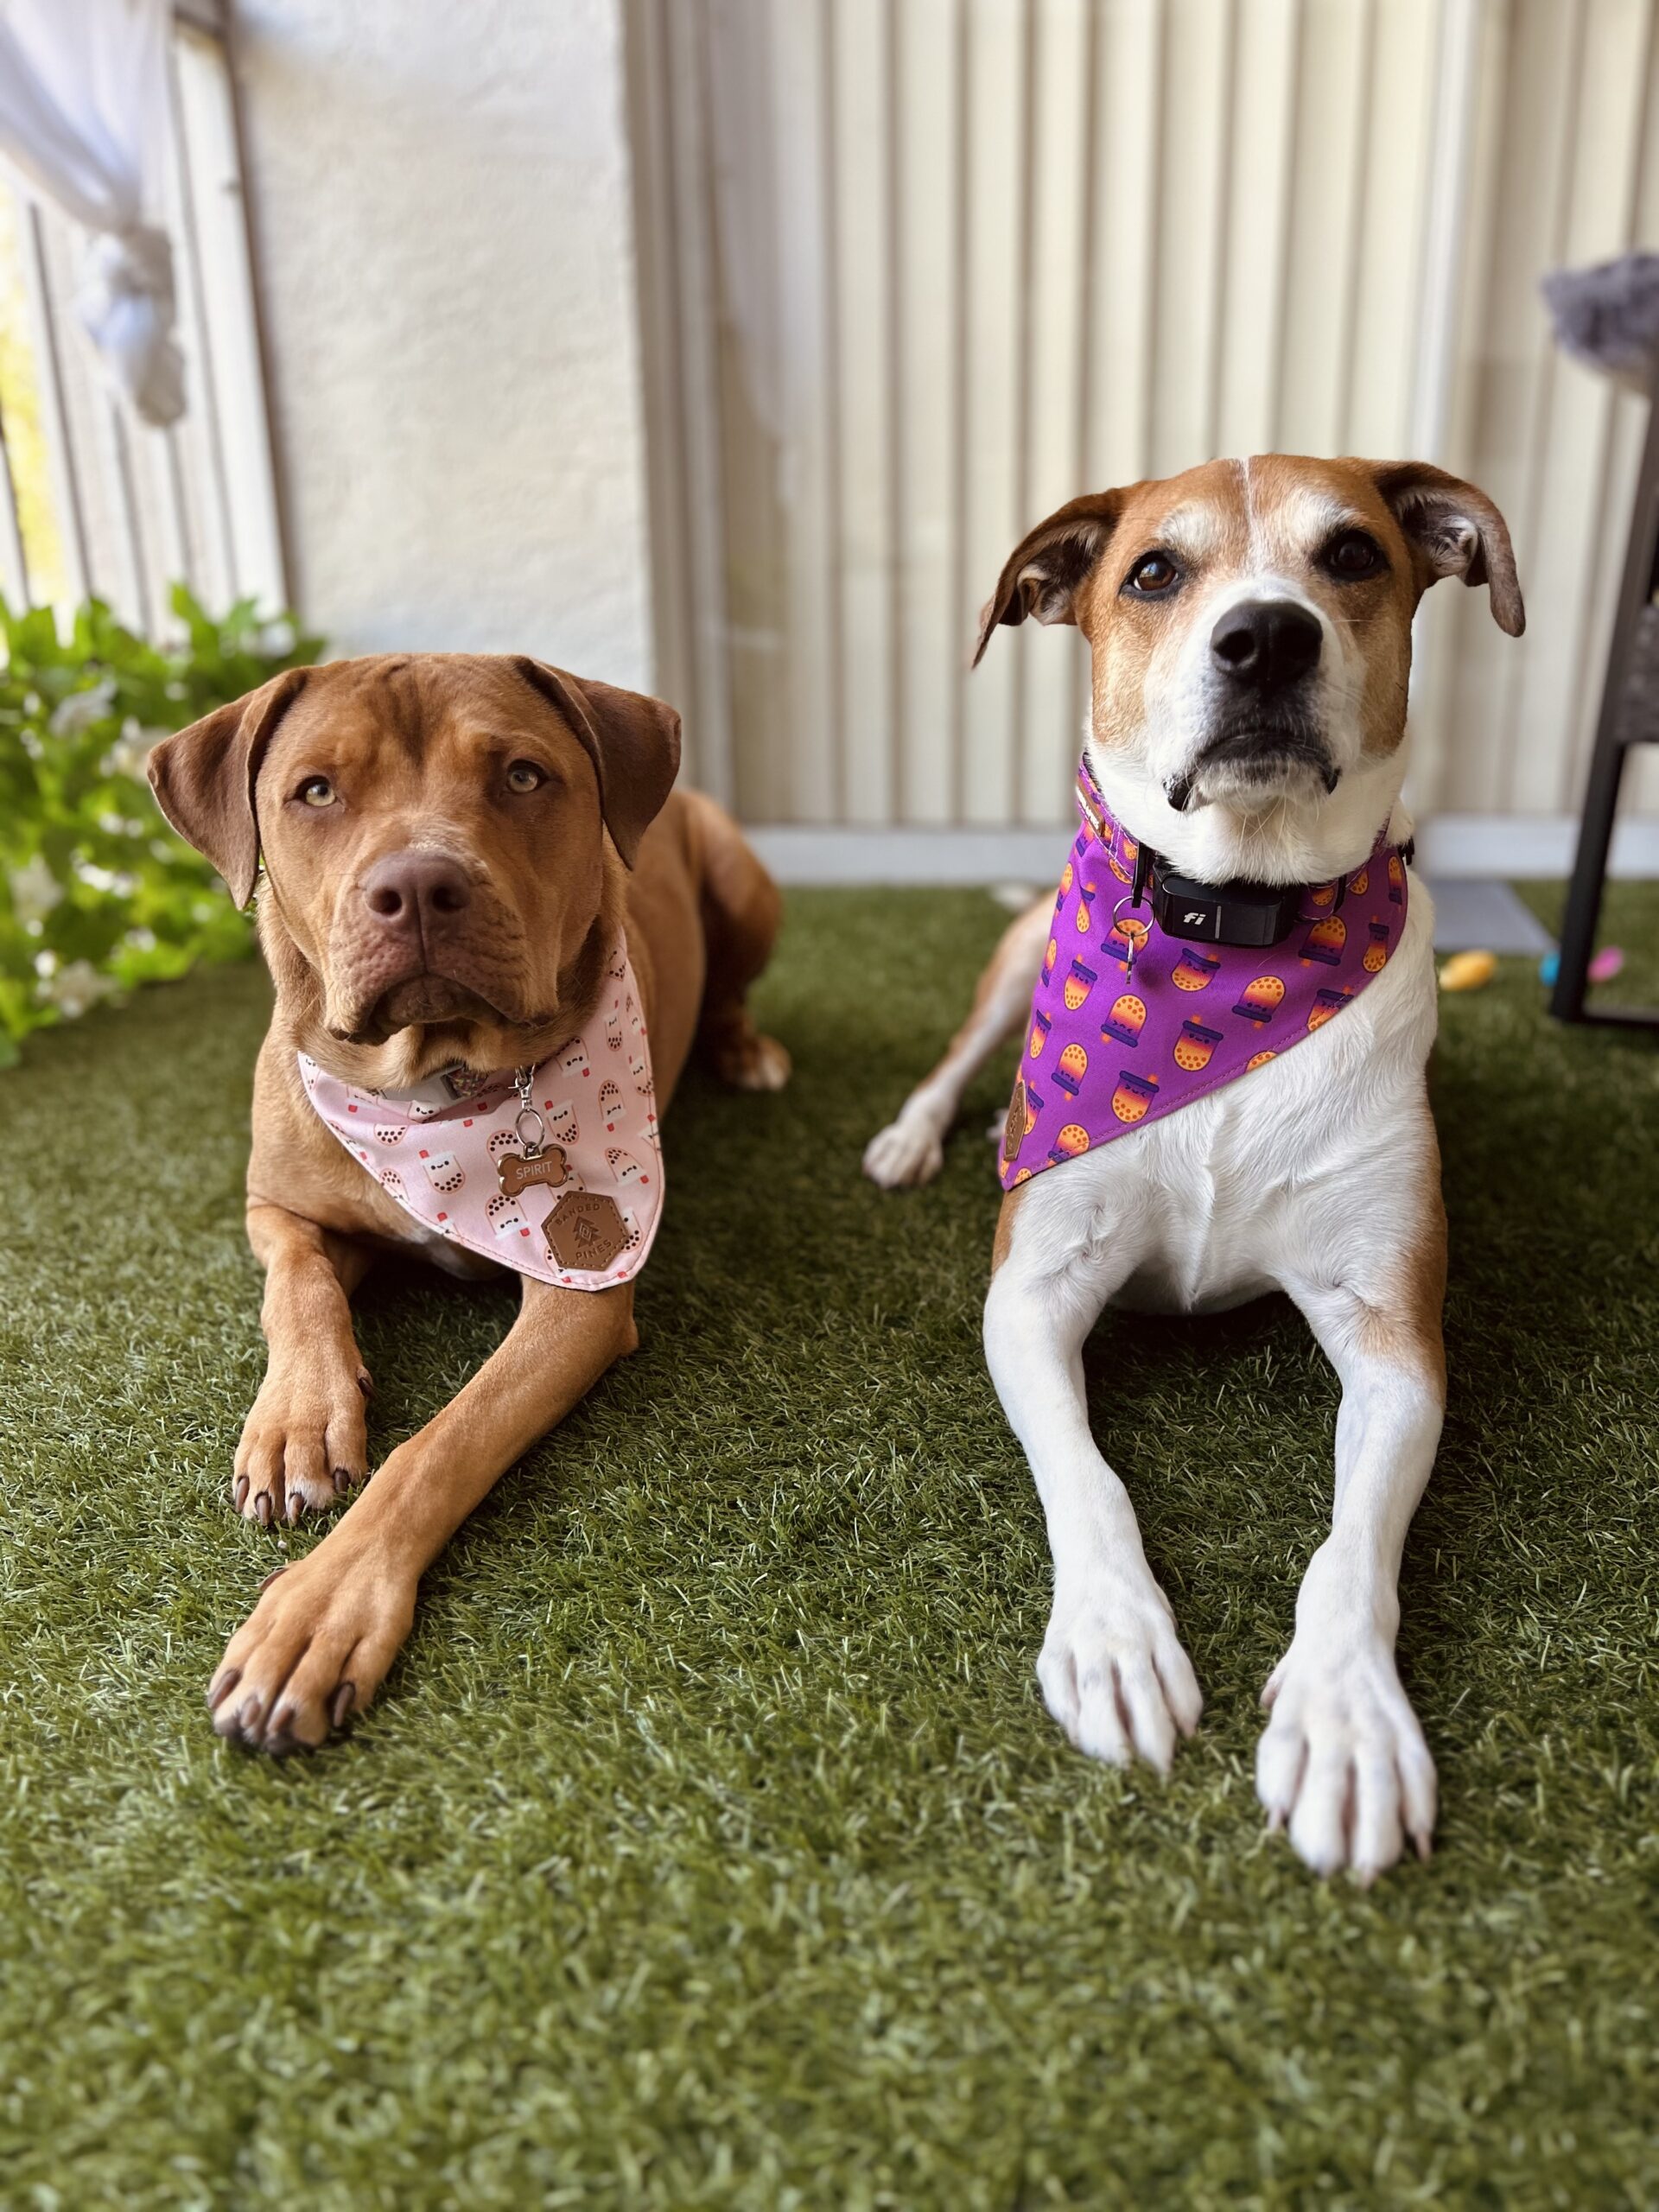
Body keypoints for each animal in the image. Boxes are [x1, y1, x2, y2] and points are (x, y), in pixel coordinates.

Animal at [145, 645, 787, 1751]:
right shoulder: (275, 1205)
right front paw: (296, 1420)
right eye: (316, 790)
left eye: (522, 776)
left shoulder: (578, 1299)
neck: (430, 1091)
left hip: (745, 887)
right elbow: (297, 1286)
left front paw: (320, 1608)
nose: (417, 885)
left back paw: (741, 1046)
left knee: (734, 986)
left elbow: (443, 1442)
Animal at [871, 457, 1530, 1875]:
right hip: (1015, 964)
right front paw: (1115, 1640)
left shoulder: (1394, 1332)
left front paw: (1347, 1720)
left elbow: (1352, 1544)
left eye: (1354, 554)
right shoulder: (1031, 1292)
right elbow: (1090, 1478)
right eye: (1154, 573)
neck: (1235, 935)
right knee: (957, 1058)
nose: (1268, 635)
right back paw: (915, 1134)